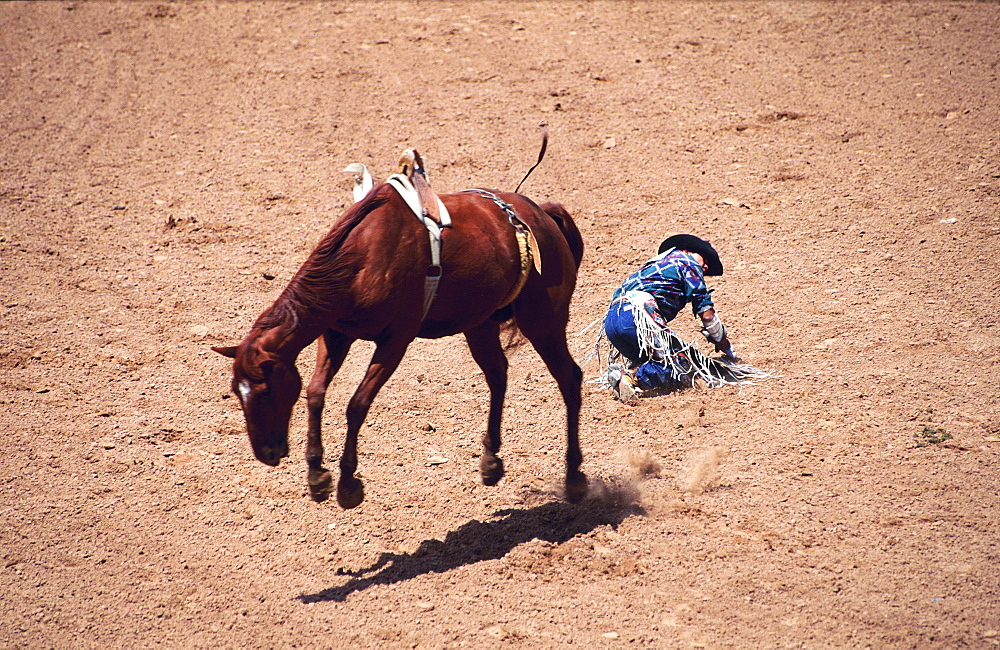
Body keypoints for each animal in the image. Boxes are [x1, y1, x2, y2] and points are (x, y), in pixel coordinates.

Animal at [211, 166, 584, 506]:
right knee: (498, 375)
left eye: (266, 391)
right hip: (479, 324)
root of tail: (542, 215)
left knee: (569, 378)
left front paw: (348, 484)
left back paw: (574, 477)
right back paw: (491, 462)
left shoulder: (395, 340)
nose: (266, 453)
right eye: (236, 391)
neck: (362, 257)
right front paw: (317, 475)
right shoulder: (335, 333)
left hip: (543, 322)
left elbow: (357, 404)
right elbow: (315, 393)